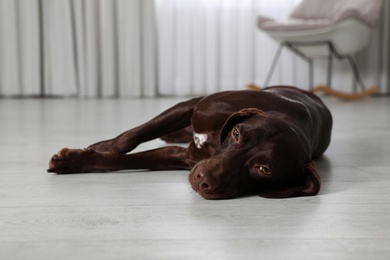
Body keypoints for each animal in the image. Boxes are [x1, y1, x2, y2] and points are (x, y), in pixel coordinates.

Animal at [47, 86, 330, 200]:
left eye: (264, 170)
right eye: (237, 134)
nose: (202, 179)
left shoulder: (183, 158)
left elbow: (118, 162)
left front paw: (77, 160)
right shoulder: (192, 105)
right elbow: (133, 135)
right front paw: (100, 147)